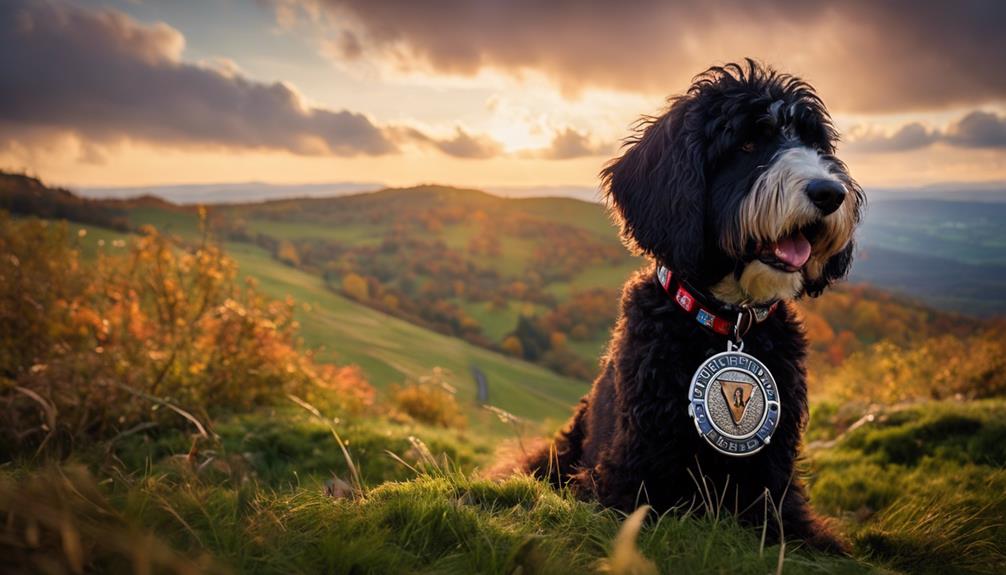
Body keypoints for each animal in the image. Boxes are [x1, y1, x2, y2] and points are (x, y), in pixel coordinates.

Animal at [511, 61, 865, 550]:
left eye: (816, 144)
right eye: (747, 142)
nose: (830, 193)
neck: (729, 322)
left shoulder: (774, 484)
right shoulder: (629, 471)